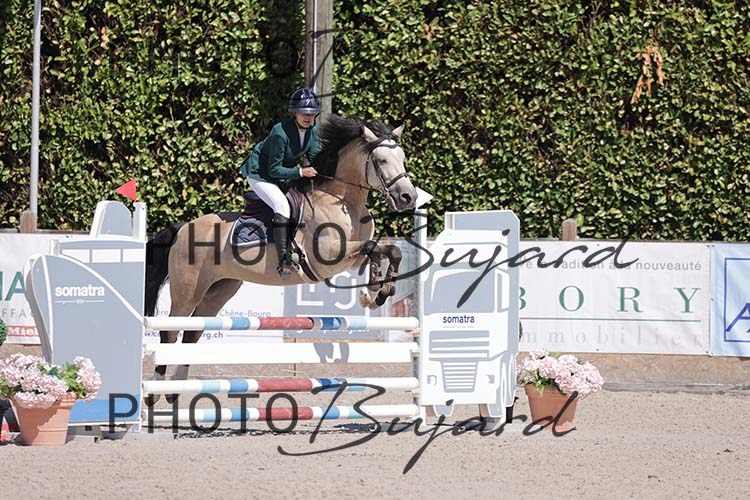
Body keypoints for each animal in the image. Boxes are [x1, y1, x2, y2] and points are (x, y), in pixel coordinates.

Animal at [143, 114, 418, 403]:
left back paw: (175, 390)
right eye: (381, 160)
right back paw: (156, 392)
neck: (344, 200)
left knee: (192, 331)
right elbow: (374, 250)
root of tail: (184, 227)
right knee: (170, 331)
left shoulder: (351, 257)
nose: (408, 197)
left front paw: (377, 293)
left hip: (219, 290)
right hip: (187, 291)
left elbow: (389, 250)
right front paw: (375, 291)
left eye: (402, 156)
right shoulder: (328, 257)